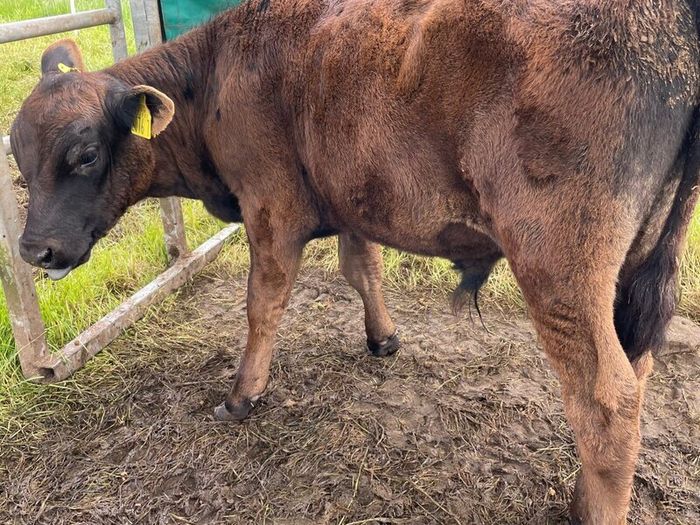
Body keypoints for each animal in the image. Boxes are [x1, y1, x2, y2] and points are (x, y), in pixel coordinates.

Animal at [10, 0, 700, 522]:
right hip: (631, 267)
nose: (34, 248)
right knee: (635, 371)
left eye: (86, 153)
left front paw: (242, 394)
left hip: (561, 272)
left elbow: (263, 304)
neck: (214, 73)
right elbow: (360, 269)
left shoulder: (272, 209)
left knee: (607, 401)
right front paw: (383, 338)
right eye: (17, 151)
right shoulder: (350, 200)